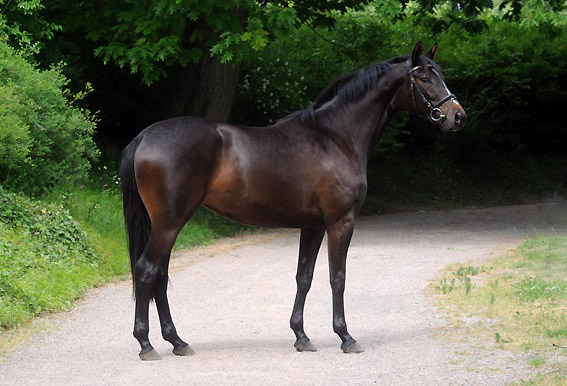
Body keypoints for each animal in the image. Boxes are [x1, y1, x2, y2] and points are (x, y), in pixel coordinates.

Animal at [118, 41, 466, 358]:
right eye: (424, 78)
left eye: (441, 75)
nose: (458, 117)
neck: (336, 137)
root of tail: (145, 136)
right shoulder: (341, 222)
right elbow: (337, 277)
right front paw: (345, 337)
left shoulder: (313, 226)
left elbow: (304, 277)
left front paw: (301, 336)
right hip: (170, 222)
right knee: (147, 270)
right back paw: (147, 344)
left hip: (168, 223)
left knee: (160, 276)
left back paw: (177, 342)